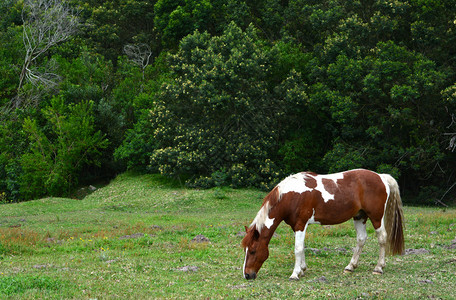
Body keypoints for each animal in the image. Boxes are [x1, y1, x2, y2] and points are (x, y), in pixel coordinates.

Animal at [240, 170, 404, 280]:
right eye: (245, 250)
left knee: (382, 238)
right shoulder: (296, 226)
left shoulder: (301, 224)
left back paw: (378, 268)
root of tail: (381, 177)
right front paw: (302, 269)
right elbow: (302, 247)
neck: (292, 196)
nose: (247, 275)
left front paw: (295, 274)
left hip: (376, 218)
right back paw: (350, 267)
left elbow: (297, 248)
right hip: (359, 217)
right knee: (361, 239)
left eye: (253, 251)